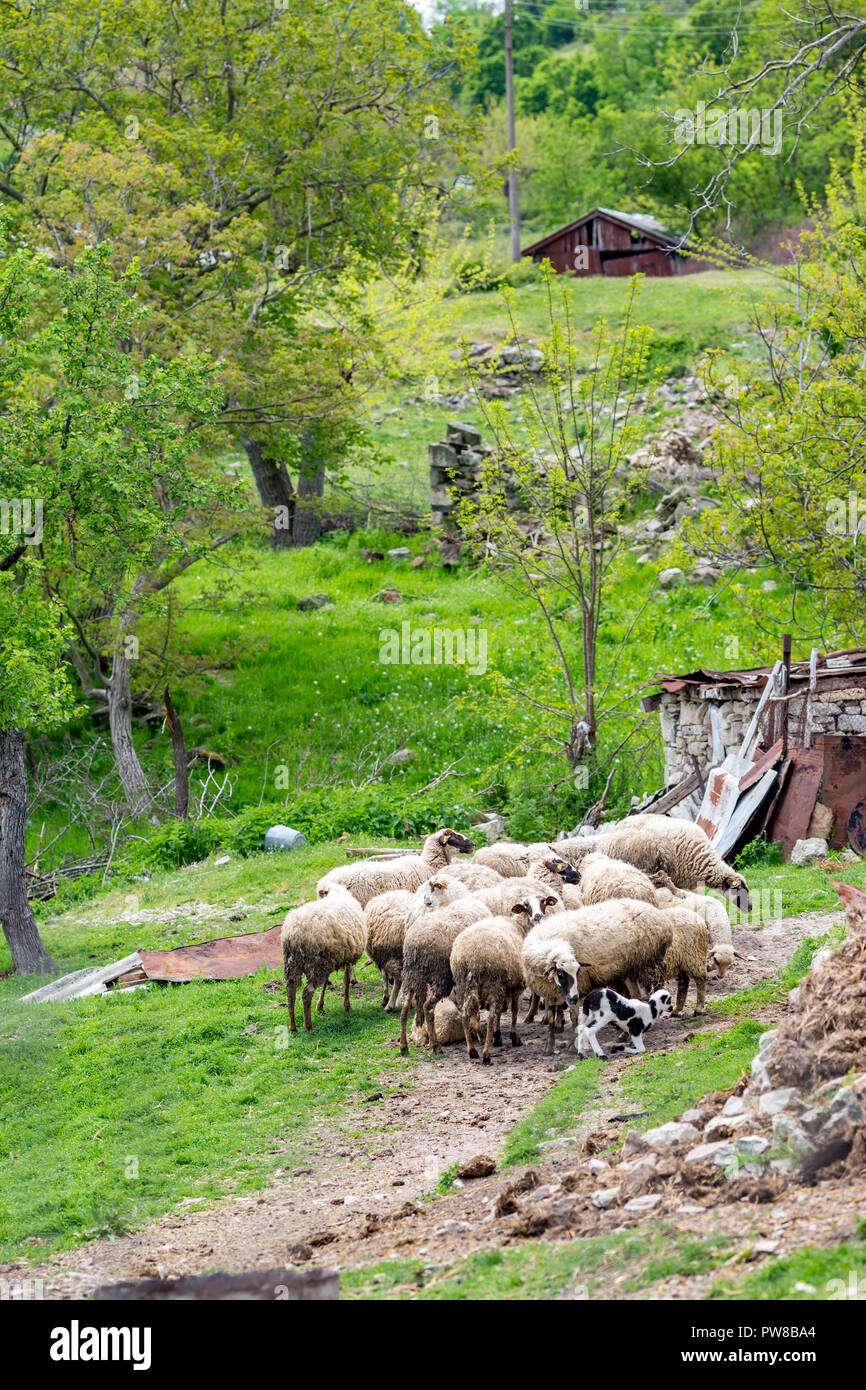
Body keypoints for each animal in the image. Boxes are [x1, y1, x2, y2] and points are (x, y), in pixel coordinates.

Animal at [283, 878, 366, 1034]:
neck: (337, 894)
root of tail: (294, 931)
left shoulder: (332, 959)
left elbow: (326, 983)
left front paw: (320, 1006)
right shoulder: (347, 958)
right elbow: (346, 981)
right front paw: (347, 1005)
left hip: (293, 963)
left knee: (290, 992)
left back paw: (293, 1027)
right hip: (315, 964)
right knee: (306, 993)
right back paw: (308, 1025)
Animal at [450, 911, 525, 1061]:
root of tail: (472, 959)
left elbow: (500, 1013)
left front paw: (498, 1037)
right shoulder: (515, 988)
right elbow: (513, 1011)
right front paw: (513, 1038)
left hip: (462, 986)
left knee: (464, 1015)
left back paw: (472, 1050)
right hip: (494, 985)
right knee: (490, 1017)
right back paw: (486, 1054)